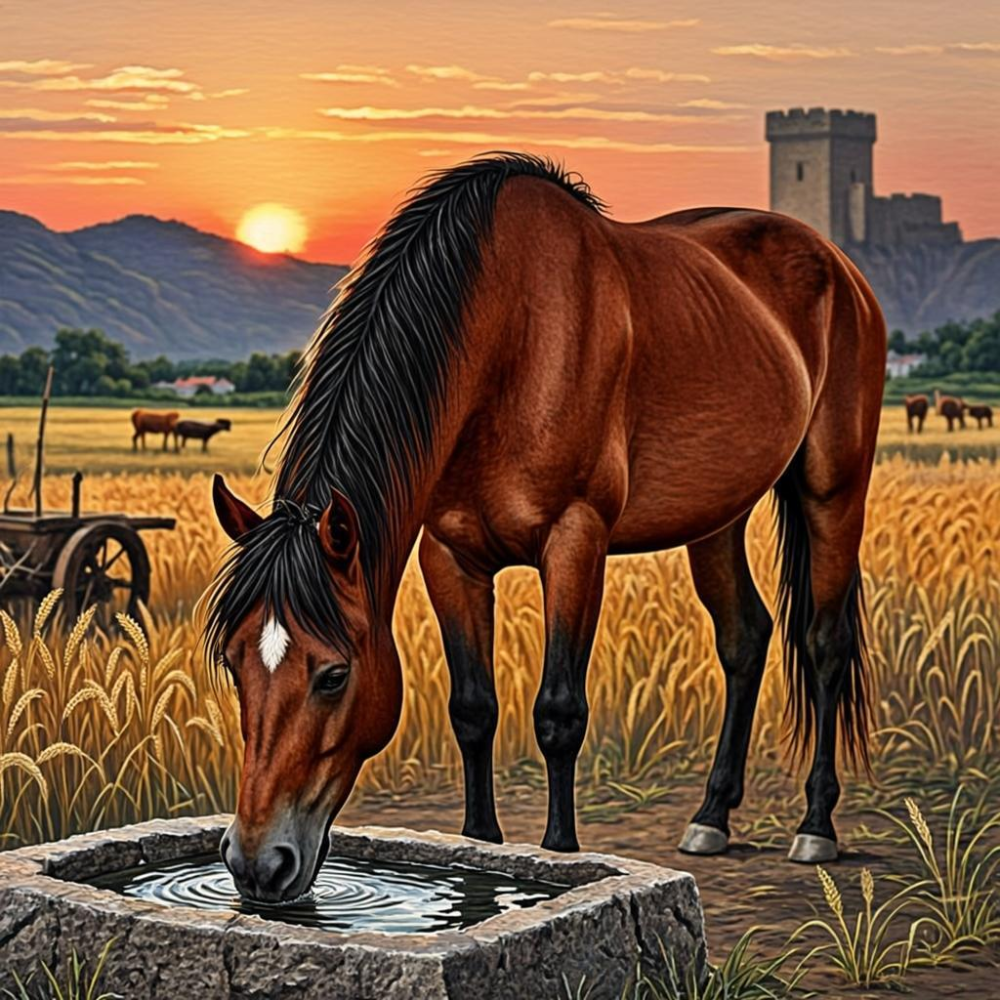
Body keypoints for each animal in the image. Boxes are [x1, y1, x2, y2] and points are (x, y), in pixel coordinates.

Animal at [205, 153, 886, 903]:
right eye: (234, 663)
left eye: (332, 675)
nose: (257, 863)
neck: (509, 335)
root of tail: (836, 264)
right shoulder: (450, 555)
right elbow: (473, 709)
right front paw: (477, 851)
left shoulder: (575, 540)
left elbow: (559, 713)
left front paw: (559, 855)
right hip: (718, 514)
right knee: (745, 638)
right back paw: (710, 817)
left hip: (834, 489)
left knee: (824, 643)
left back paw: (816, 826)